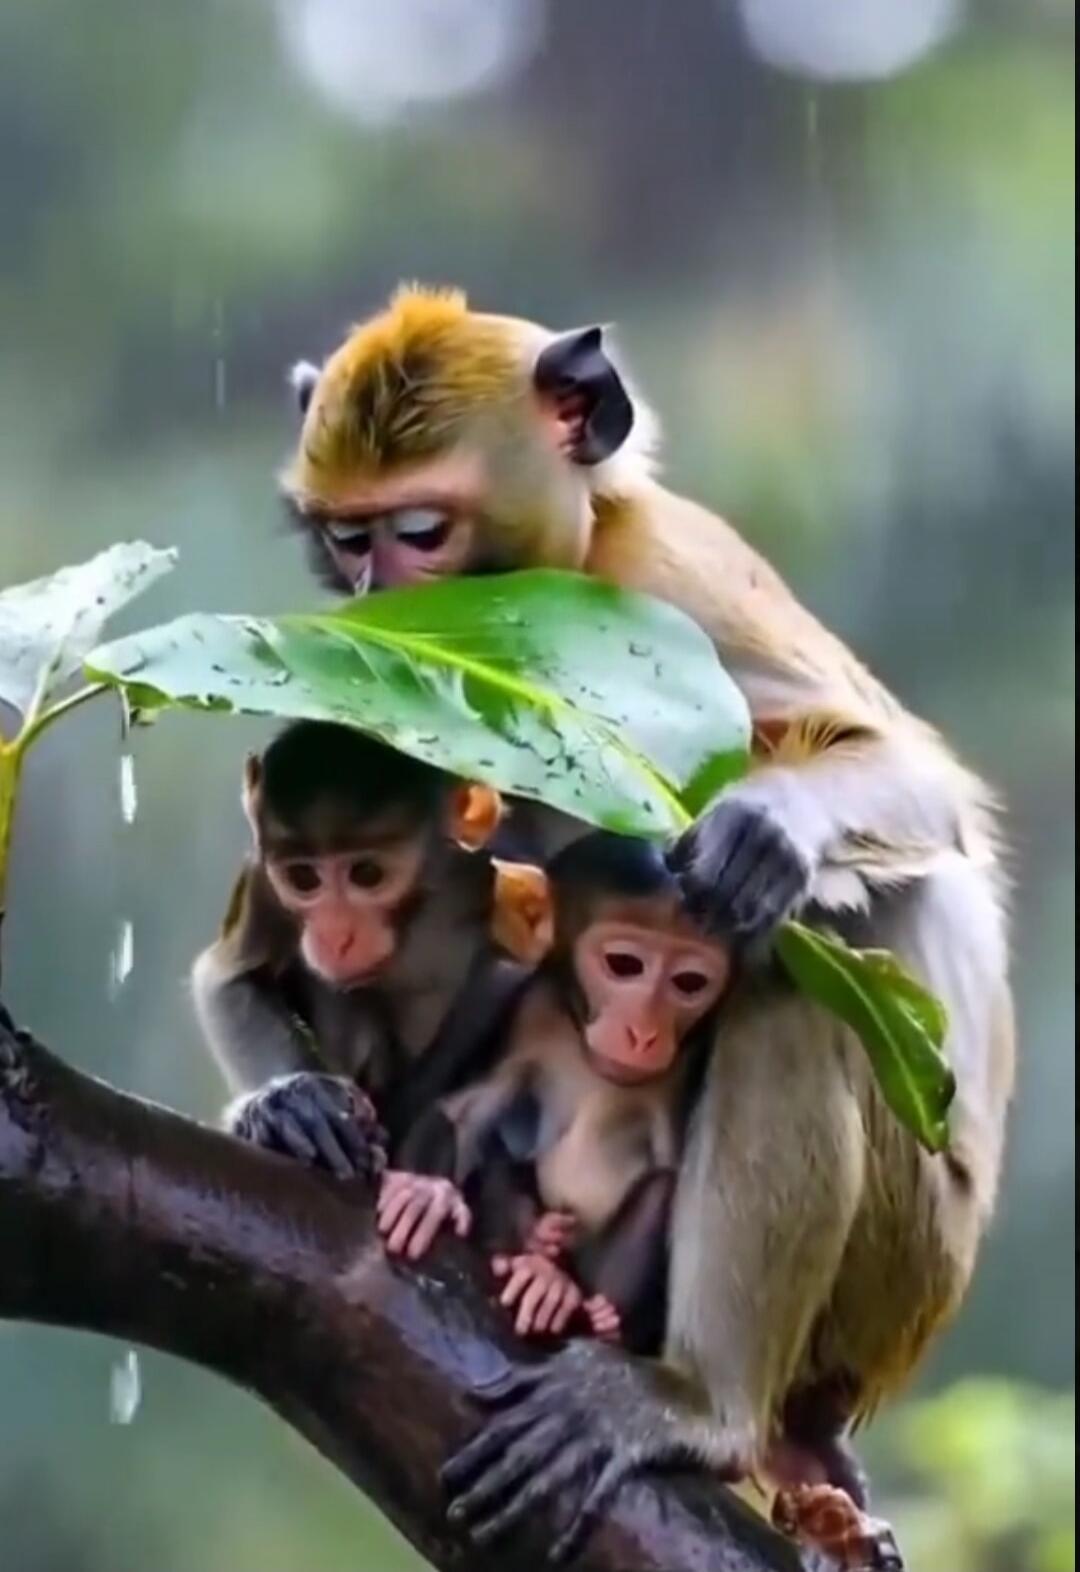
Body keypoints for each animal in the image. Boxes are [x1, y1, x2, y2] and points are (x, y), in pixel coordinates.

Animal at [191, 719, 551, 1179]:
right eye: (303, 879)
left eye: (367, 873)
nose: (333, 936)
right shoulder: (263, 877)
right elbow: (232, 977)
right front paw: (289, 1104)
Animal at [376, 831, 732, 1354]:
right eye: (624, 965)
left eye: (689, 983)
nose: (644, 1034)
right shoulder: (529, 1007)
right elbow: (464, 1111)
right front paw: (426, 1193)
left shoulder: (688, 1063)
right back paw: (532, 1253)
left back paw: (567, 1292)